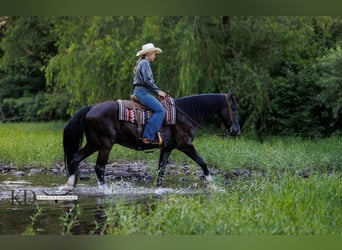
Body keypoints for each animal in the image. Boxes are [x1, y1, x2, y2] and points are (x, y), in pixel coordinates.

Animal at [62, 89, 242, 188]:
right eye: (233, 108)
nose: (236, 130)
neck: (184, 114)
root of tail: (91, 108)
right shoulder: (186, 145)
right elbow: (203, 162)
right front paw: (213, 186)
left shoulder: (167, 148)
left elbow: (161, 171)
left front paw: (157, 190)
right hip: (105, 144)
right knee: (99, 168)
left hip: (93, 143)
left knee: (75, 158)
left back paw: (70, 185)